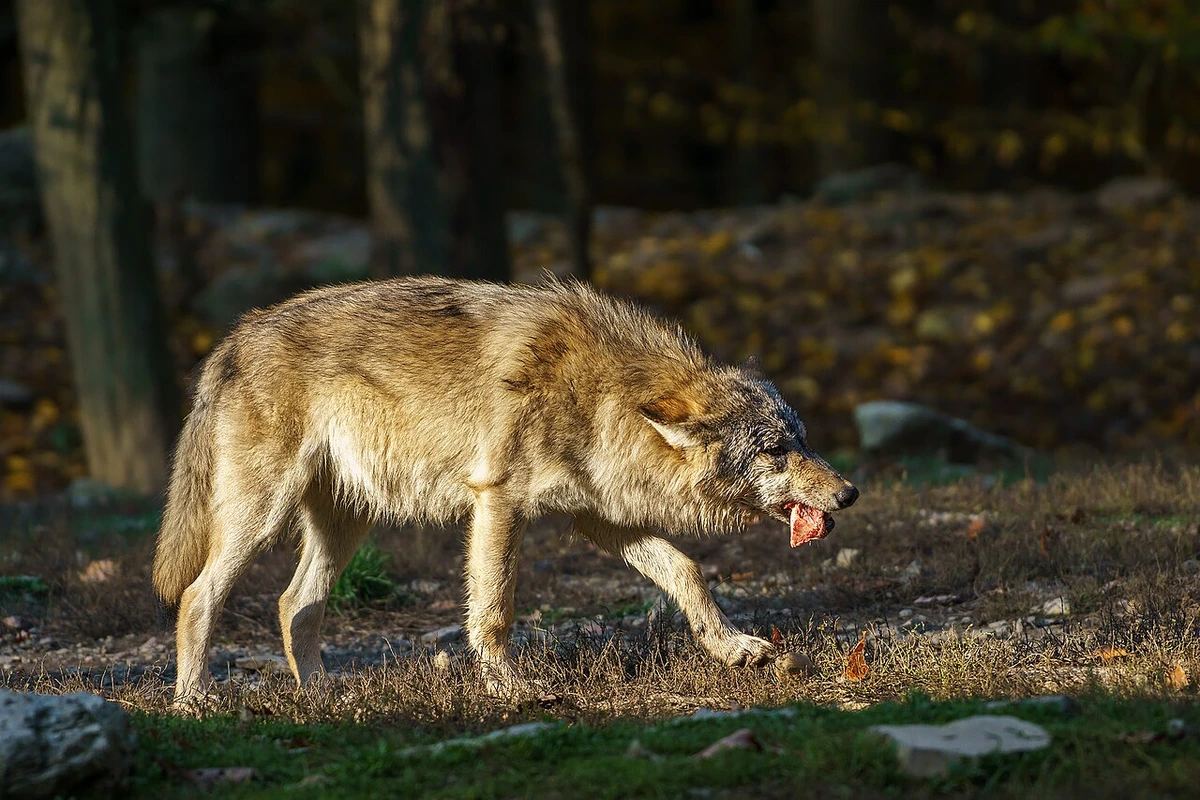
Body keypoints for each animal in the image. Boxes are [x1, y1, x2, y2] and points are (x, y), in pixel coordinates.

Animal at [152, 277, 858, 702]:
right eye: (775, 452)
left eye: (803, 440)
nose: (849, 493)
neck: (600, 393)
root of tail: (233, 338)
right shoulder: (500, 501)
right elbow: (494, 608)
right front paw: (508, 689)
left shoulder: (600, 518)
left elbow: (687, 572)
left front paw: (733, 648)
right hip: (261, 516)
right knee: (197, 596)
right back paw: (194, 702)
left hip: (348, 522)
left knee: (293, 604)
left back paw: (326, 699)